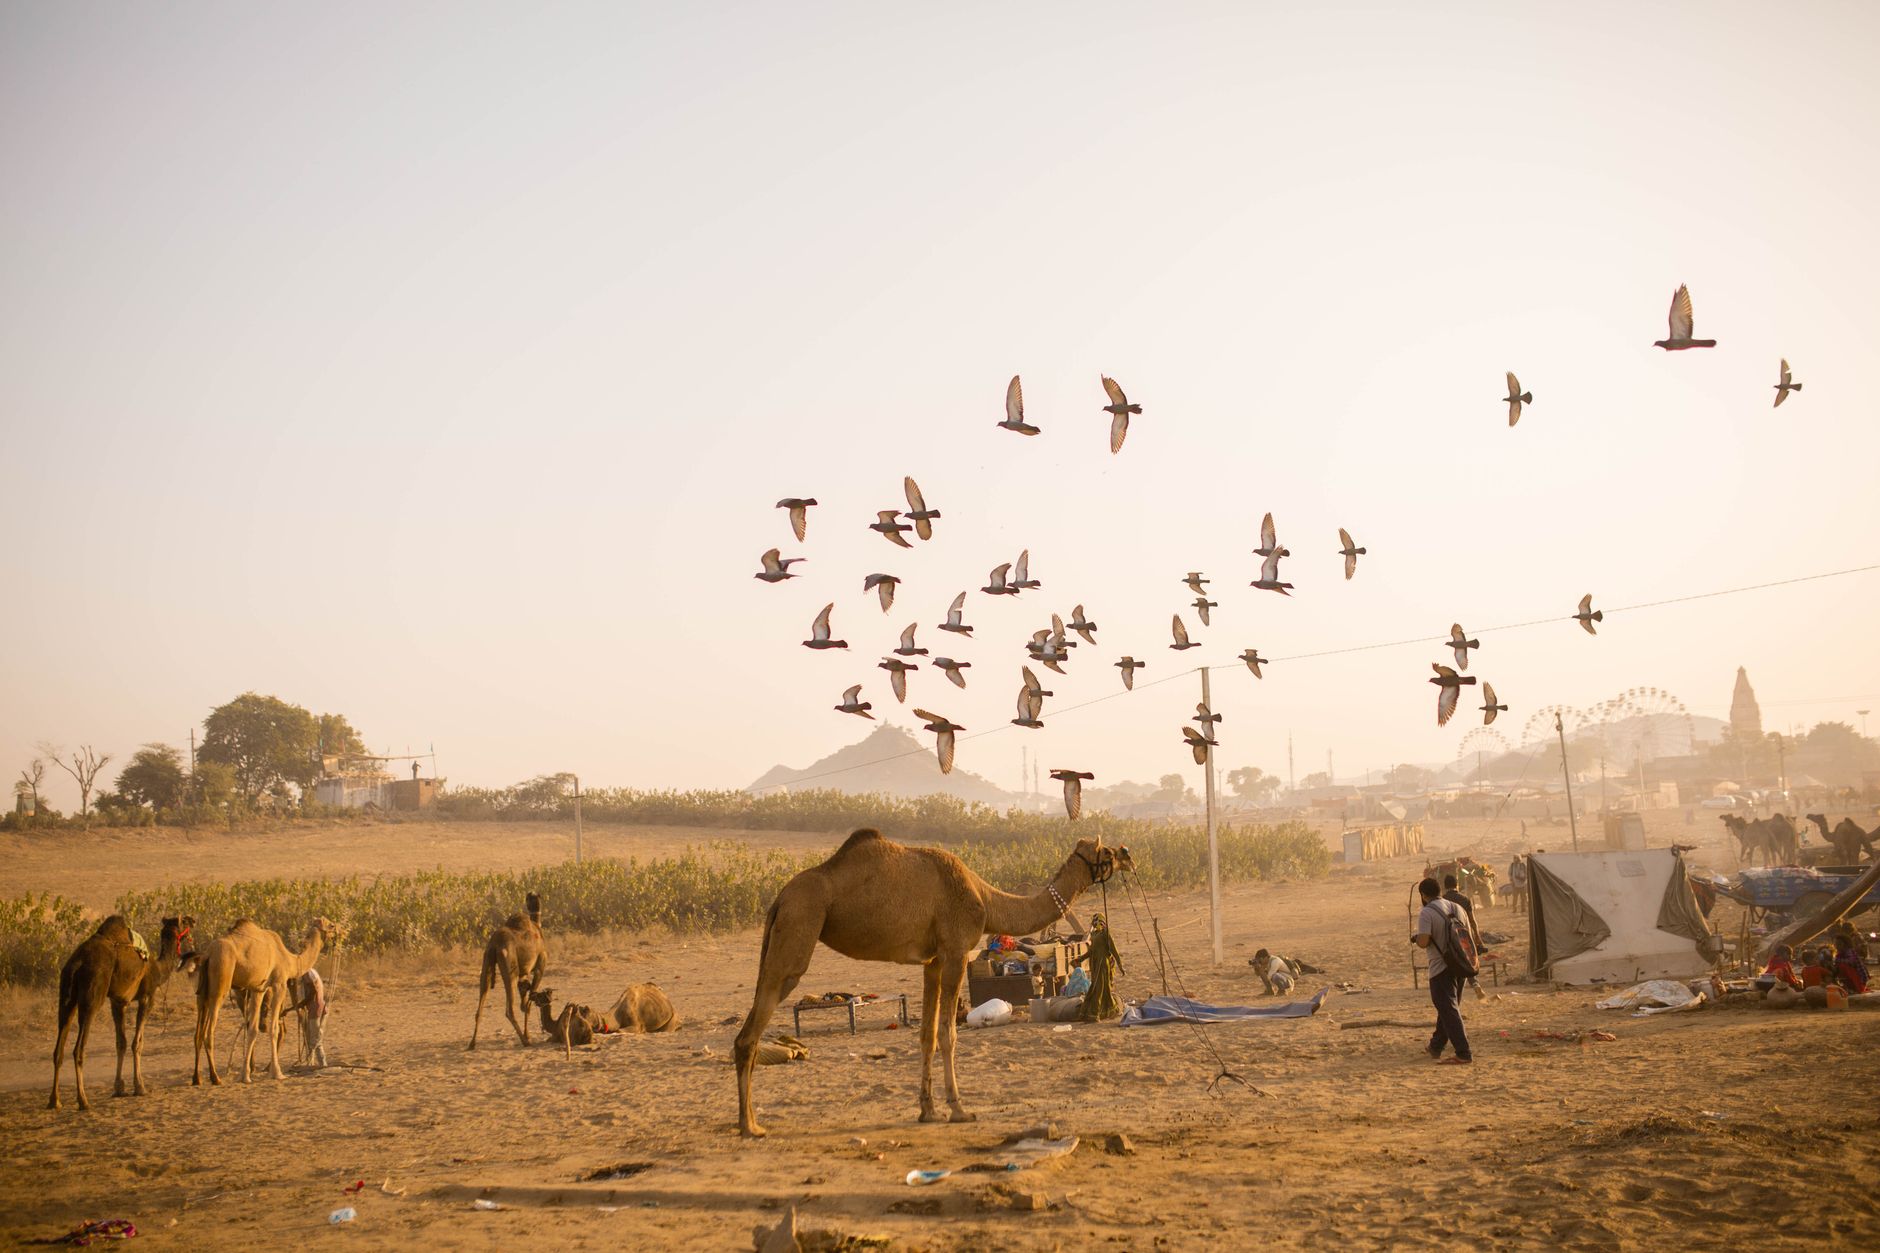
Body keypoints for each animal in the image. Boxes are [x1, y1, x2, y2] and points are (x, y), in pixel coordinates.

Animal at [49, 915, 194, 1111]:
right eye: (184, 922)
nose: (193, 921)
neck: (156, 968)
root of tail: (77, 964)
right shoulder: (147, 997)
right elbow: (137, 1043)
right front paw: (140, 1087)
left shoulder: (118, 1002)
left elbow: (121, 1043)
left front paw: (119, 1088)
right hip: (93, 995)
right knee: (78, 1049)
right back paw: (83, 1100)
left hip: (66, 996)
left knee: (59, 1047)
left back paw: (54, 1100)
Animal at [192, 916, 339, 1085]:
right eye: (331, 925)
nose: (338, 930)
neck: (289, 959)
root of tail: (208, 954)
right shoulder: (279, 984)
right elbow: (274, 1028)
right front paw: (277, 1073)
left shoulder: (258, 989)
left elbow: (252, 1029)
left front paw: (245, 1075)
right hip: (221, 979)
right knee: (209, 1032)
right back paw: (215, 1077)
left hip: (202, 991)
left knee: (198, 1032)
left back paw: (197, 1078)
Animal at [470, 893, 546, 1049]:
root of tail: (494, 944)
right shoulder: (540, 966)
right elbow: (529, 1003)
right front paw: (528, 1035)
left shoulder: (524, 974)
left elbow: (525, 996)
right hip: (510, 969)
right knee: (509, 1010)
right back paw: (525, 1041)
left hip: (487, 963)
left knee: (480, 1006)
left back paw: (472, 1043)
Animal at [734, 828, 1131, 1137]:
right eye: (1106, 852)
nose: (1127, 853)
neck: (984, 898)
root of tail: (779, 899)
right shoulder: (955, 951)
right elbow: (948, 1033)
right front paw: (958, 1109)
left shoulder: (933, 961)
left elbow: (926, 1034)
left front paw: (927, 1110)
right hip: (800, 924)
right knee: (750, 1031)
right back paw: (750, 1126)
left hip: (783, 931)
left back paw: (749, 1122)